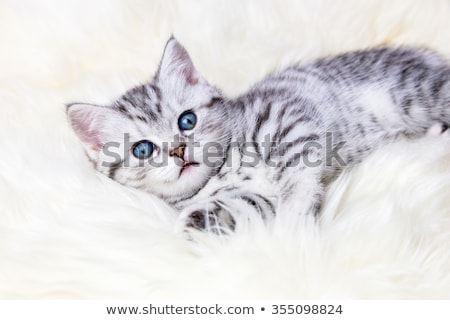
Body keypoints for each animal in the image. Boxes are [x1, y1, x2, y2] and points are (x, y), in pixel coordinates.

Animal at [67, 37, 450, 232]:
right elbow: (247, 204)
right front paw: (197, 223)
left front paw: (296, 215)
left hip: (416, 92)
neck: (221, 172)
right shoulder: (251, 195)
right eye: (143, 150)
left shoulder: (284, 116)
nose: (178, 151)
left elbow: (296, 173)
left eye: (187, 121)